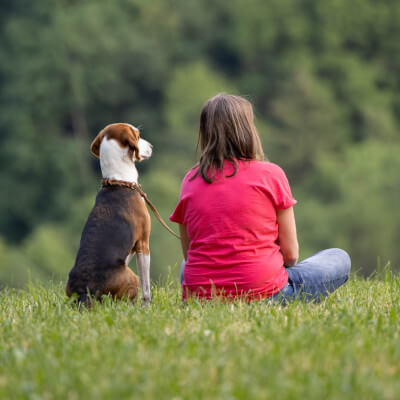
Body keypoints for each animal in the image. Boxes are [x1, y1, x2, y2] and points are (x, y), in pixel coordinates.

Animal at [65, 123, 153, 304]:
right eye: (138, 135)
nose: (151, 147)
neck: (118, 180)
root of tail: (85, 291)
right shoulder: (143, 243)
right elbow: (147, 288)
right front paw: (147, 305)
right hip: (132, 276)